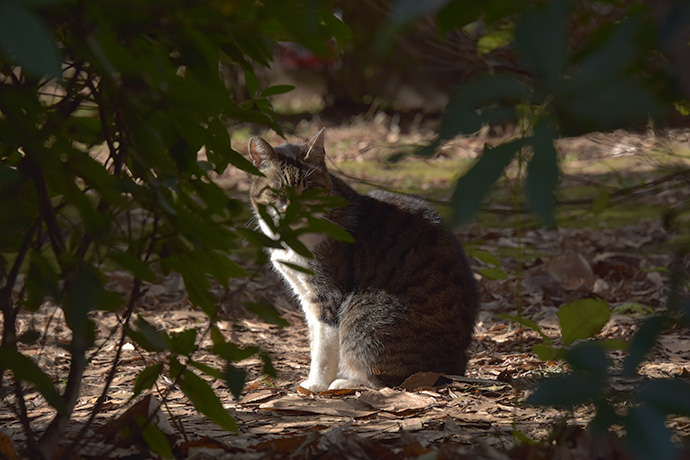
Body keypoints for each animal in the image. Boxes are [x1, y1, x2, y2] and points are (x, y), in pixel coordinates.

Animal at [247, 129, 478, 392]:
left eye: (310, 189)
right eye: (278, 192)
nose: (295, 210)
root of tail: (455, 367)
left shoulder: (328, 295)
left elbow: (324, 349)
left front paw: (316, 385)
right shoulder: (305, 294)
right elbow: (314, 339)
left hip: (366, 317)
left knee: (385, 378)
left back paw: (344, 382)